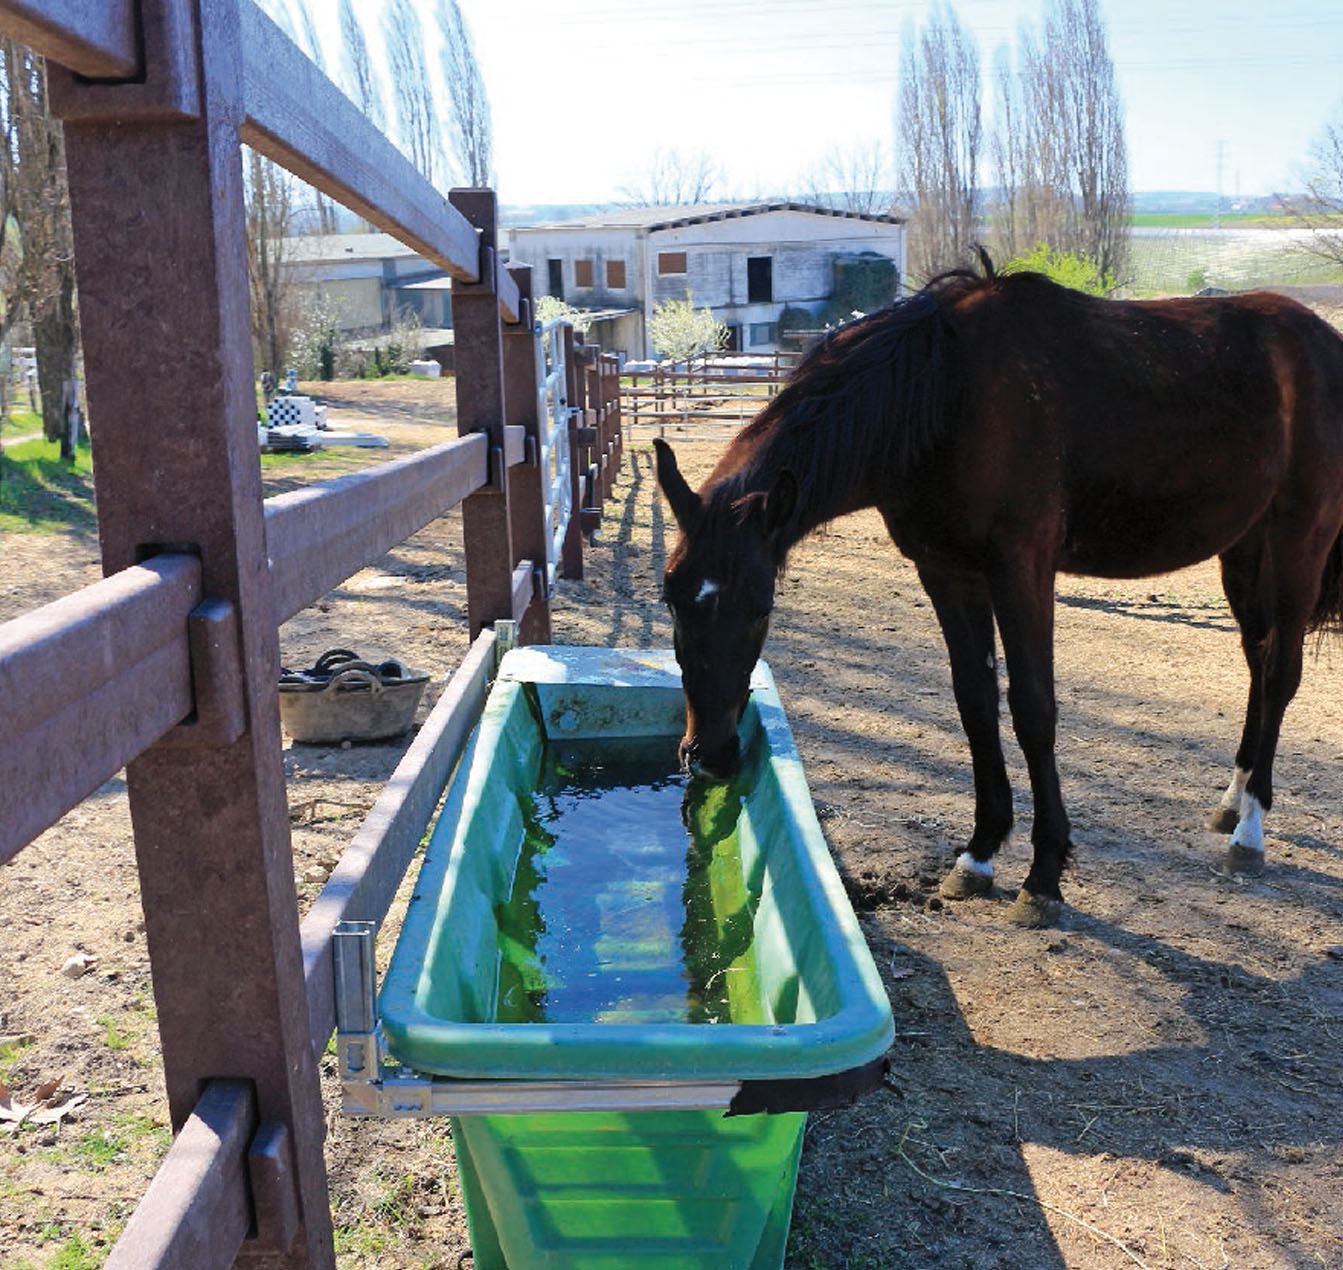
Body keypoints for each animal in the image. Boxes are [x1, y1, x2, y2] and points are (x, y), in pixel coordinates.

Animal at [655, 260, 1343, 929]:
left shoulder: (1021, 570)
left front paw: (1043, 879)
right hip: (1244, 549)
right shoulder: (947, 573)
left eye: (762, 606)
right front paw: (980, 854)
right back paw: (1232, 800)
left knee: (1281, 671)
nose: (710, 753)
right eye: (671, 600)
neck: (943, 394)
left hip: (1298, 541)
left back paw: (1250, 831)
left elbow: (1033, 709)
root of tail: (1321, 339)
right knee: (1258, 661)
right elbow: (975, 703)